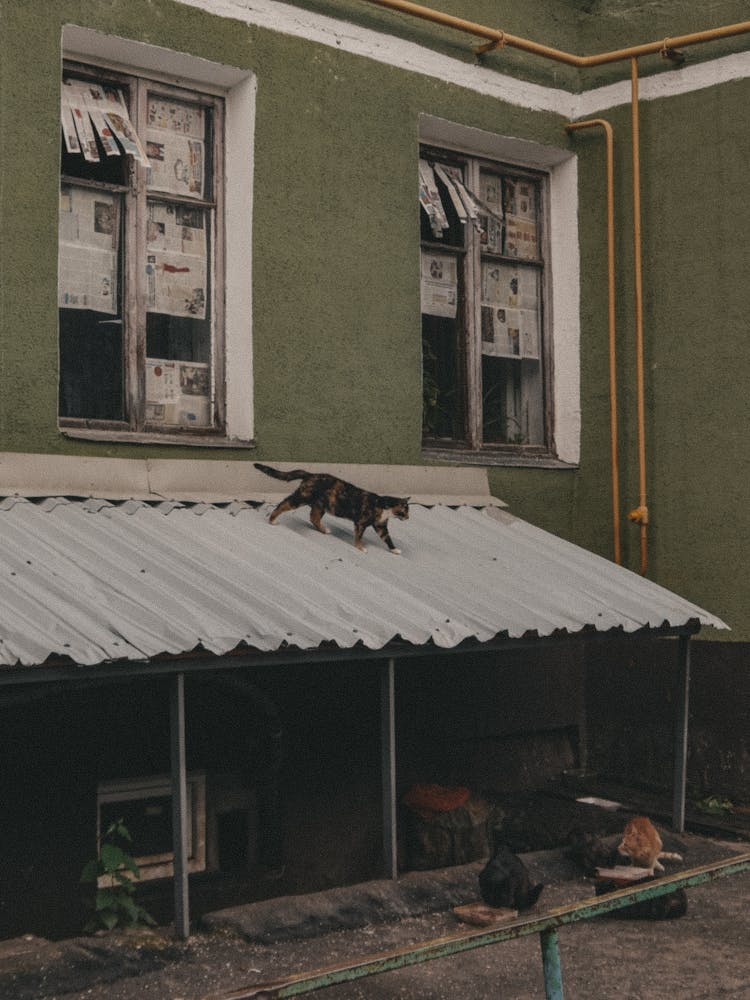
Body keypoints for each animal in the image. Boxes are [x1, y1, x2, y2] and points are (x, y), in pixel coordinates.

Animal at [254, 462, 412, 556]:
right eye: (404, 510)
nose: (408, 518)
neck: (385, 508)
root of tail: (311, 474)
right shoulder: (361, 522)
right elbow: (359, 536)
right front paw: (360, 547)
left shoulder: (381, 526)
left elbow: (387, 538)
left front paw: (394, 549)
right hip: (301, 498)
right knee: (283, 504)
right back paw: (272, 519)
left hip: (321, 505)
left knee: (313, 517)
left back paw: (324, 530)